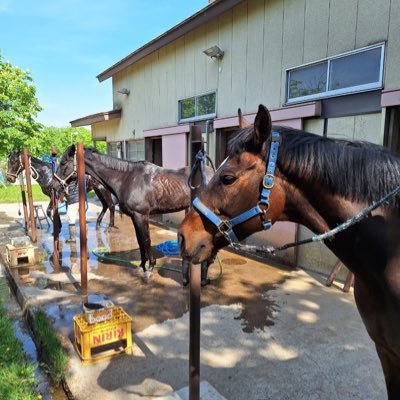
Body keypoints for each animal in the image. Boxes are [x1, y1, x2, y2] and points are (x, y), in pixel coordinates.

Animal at [52, 145, 214, 284]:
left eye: (63, 162)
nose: (53, 185)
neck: (127, 178)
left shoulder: (141, 216)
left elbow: (146, 241)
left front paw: (150, 269)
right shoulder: (134, 217)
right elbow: (140, 242)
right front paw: (141, 266)